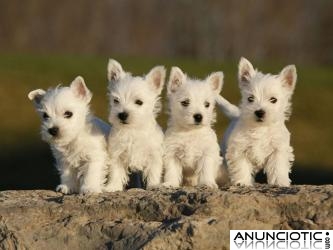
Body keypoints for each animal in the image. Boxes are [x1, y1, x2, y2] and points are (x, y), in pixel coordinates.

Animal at [104, 58, 165, 191]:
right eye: (116, 100)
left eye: (139, 102)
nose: (122, 114)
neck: (133, 130)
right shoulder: (117, 154)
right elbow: (115, 172)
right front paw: (112, 187)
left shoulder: (154, 155)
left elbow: (153, 172)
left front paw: (154, 185)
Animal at [215, 57, 296, 187]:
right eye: (250, 98)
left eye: (273, 100)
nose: (259, 112)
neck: (260, 128)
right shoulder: (239, 149)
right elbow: (241, 166)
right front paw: (242, 182)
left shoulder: (278, 149)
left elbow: (278, 167)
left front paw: (280, 182)